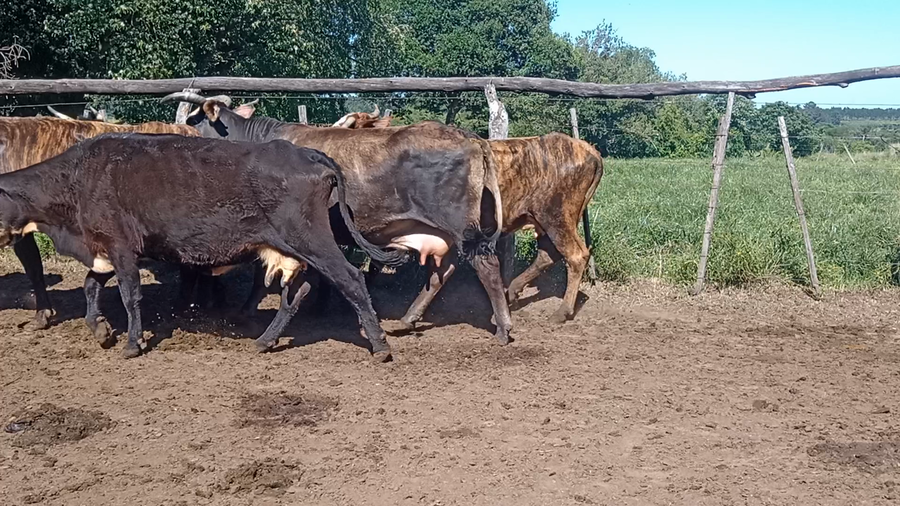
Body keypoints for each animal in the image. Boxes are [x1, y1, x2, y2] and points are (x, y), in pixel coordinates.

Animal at [161, 91, 514, 345]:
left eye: (193, 120)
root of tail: (469, 136)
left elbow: (264, 278)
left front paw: (247, 312)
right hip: (446, 232)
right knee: (445, 271)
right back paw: (408, 319)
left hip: (461, 226)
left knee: (486, 266)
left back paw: (502, 327)